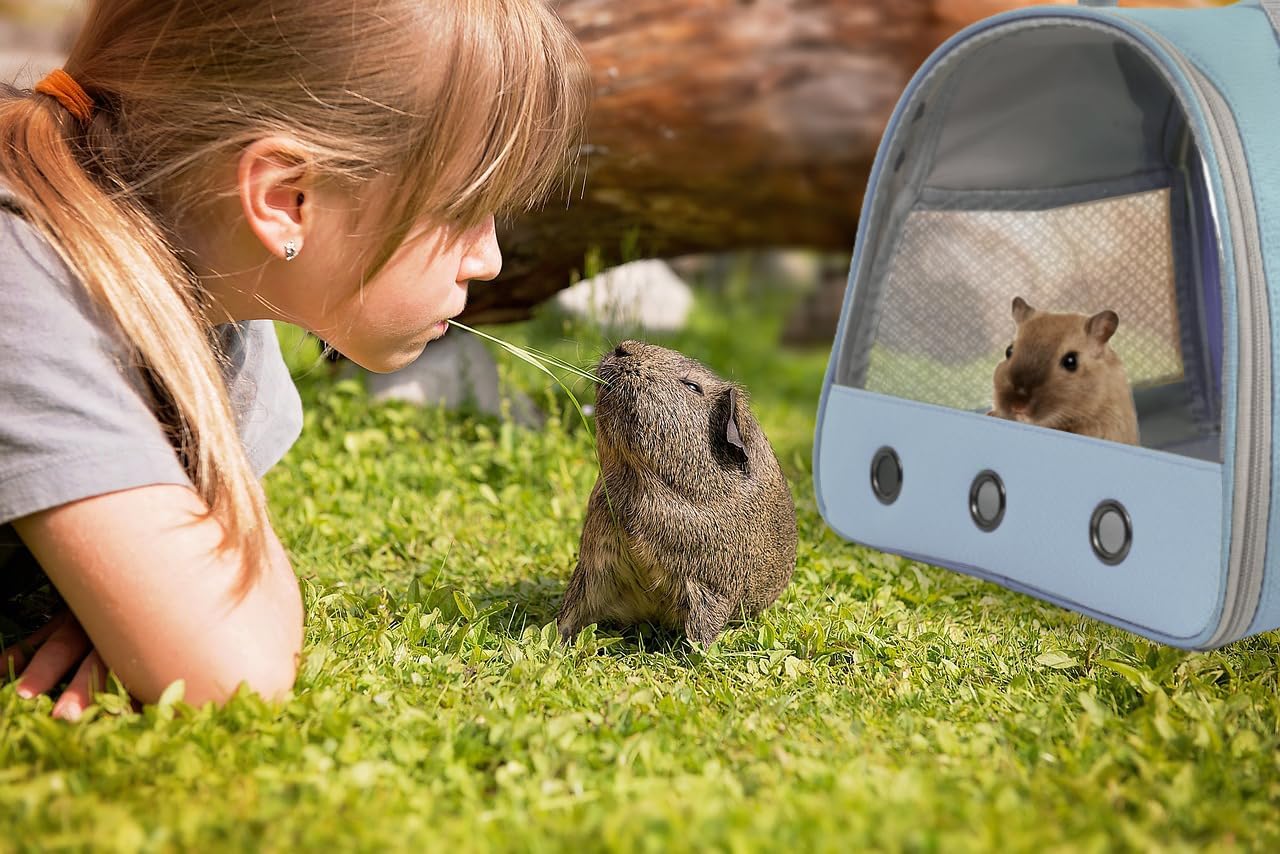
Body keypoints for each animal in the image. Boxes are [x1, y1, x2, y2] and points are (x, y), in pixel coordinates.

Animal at [556, 341, 797, 649]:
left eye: (693, 386)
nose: (623, 348)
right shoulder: (594, 565)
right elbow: (570, 614)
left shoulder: (708, 589)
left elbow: (702, 632)